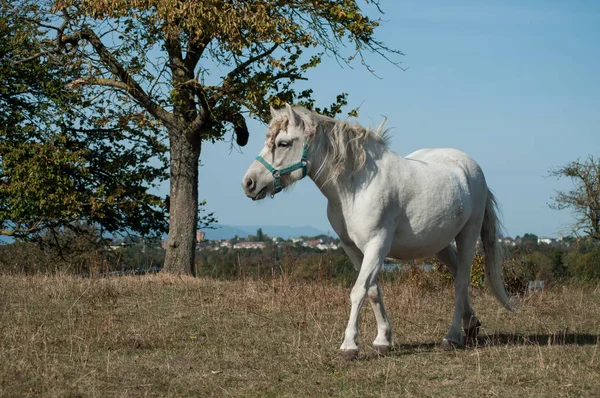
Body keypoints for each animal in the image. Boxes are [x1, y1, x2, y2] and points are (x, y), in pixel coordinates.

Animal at [241, 104, 512, 360]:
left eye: (283, 143)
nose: (248, 183)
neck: (356, 186)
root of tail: (469, 166)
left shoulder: (377, 245)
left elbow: (358, 291)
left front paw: (349, 347)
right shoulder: (352, 248)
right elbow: (372, 291)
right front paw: (383, 340)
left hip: (467, 235)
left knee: (461, 281)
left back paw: (452, 337)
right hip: (439, 244)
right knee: (457, 275)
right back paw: (471, 324)